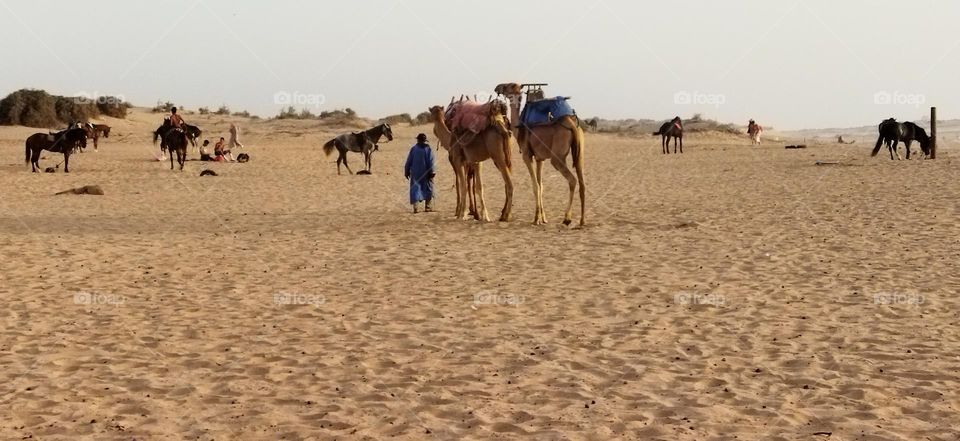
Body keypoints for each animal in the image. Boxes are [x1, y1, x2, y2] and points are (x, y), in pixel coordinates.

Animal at [506, 90, 586, 226]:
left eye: (507, 87)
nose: (497, 88)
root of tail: (572, 124)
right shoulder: (540, 158)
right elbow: (540, 185)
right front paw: (543, 219)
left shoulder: (527, 156)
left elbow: (535, 185)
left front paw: (536, 219)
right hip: (579, 152)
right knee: (582, 182)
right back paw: (582, 220)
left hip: (557, 157)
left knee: (572, 180)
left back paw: (567, 218)